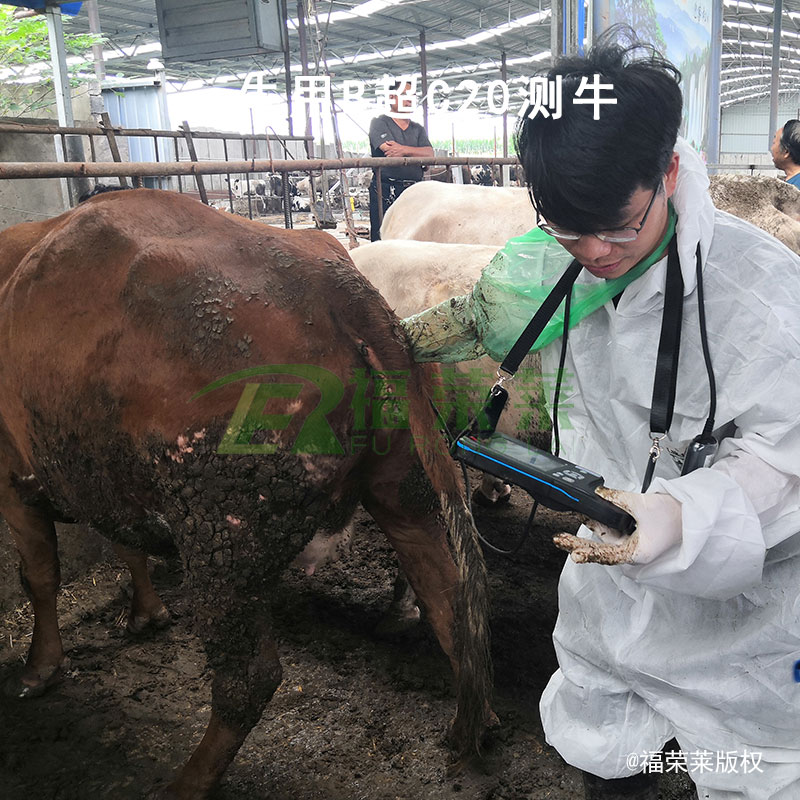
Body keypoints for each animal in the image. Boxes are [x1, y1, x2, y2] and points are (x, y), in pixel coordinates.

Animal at [0, 189, 494, 800]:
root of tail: (330, 278)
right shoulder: (101, 475)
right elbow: (123, 546)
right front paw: (145, 613)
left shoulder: (14, 476)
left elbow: (40, 575)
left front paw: (39, 667)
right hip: (405, 496)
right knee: (452, 604)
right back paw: (476, 722)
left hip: (223, 538)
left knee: (249, 678)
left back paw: (186, 783)